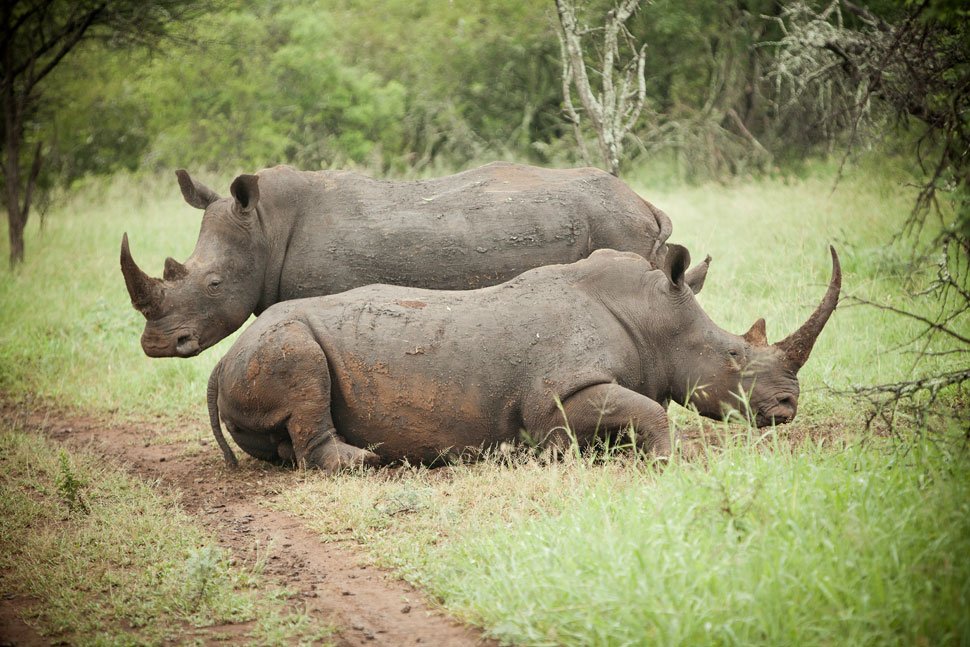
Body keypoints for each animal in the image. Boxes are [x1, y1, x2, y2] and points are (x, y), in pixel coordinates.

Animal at [206, 244, 840, 470]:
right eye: (734, 354)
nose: (788, 407)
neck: (652, 320)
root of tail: (222, 358)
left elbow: (639, 410)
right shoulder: (554, 394)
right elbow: (650, 411)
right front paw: (670, 460)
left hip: (257, 351)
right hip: (278, 340)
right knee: (302, 365)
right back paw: (366, 462)